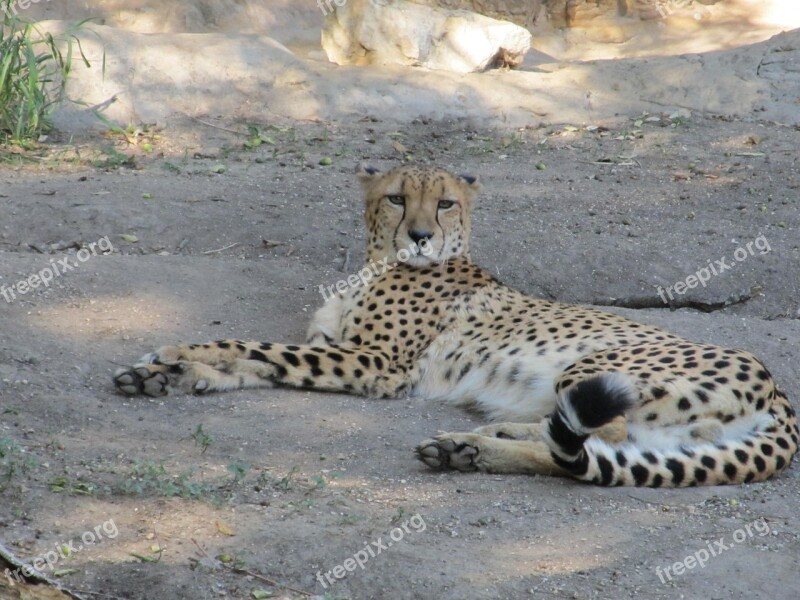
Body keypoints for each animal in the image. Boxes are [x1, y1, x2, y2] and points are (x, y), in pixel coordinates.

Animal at [114, 164, 800, 488]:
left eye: (444, 203)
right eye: (396, 197)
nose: (419, 234)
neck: (380, 260)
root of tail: (776, 387)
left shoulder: (376, 366)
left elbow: (254, 347)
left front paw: (174, 354)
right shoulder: (335, 348)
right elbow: (254, 359)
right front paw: (173, 375)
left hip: (594, 365)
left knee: (598, 441)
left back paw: (469, 447)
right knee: (599, 444)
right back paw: (477, 439)